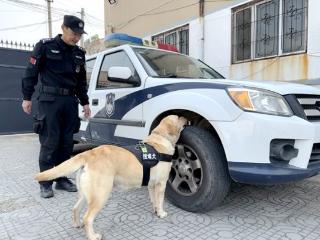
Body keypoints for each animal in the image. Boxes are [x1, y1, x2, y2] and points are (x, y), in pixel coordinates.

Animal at [35, 115, 188, 240]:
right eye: (178, 117)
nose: (186, 118)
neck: (159, 140)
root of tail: (89, 153)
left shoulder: (151, 184)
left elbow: (154, 200)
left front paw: (156, 211)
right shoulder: (161, 184)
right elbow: (160, 200)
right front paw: (161, 213)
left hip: (85, 193)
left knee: (75, 208)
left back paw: (77, 224)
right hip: (101, 194)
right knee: (87, 218)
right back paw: (93, 236)